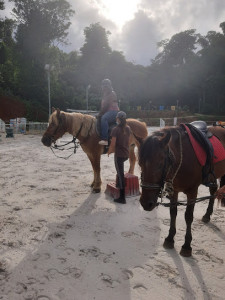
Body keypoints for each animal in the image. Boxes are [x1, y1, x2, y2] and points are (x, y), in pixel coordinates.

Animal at [139, 125, 225, 256]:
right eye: (140, 164)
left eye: (160, 164)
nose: (146, 203)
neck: (182, 159)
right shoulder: (174, 191)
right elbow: (173, 212)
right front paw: (170, 238)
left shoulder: (192, 192)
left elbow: (188, 216)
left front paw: (187, 245)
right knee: (213, 190)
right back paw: (207, 215)